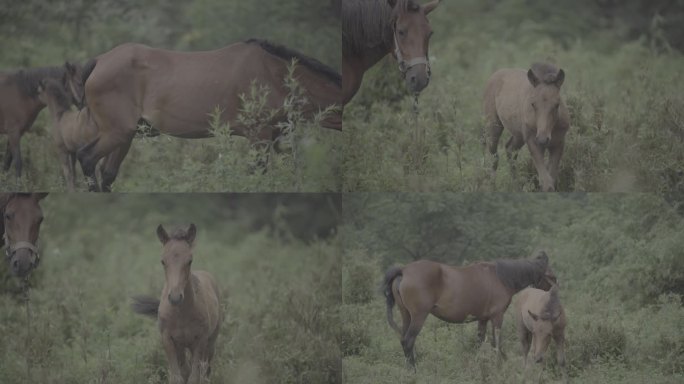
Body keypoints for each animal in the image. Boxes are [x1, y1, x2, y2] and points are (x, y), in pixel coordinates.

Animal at [66, 39, 340, 192]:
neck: (275, 74)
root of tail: (99, 61)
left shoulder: (277, 137)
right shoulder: (259, 136)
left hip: (126, 136)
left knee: (107, 175)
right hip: (117, 133)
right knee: (87, 158)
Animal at [132, 224, 220, 382]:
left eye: (190, 260)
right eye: (163, 261)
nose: (175, 297)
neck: (181, 314)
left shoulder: (200, 341)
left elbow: (194, 378)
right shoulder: (168, 341)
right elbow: (178, 377)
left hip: (210, 343)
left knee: (205, 371)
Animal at [382, 250, 560, 370]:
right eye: (552, 276)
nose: (554, 296)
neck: (501, 277)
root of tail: (403, 270)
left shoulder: (483, 319)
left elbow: (480, 342)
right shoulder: (497, 316)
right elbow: (497, 342)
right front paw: (500, 364)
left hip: (406, 315)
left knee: (404, 340)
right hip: (419, 316)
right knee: (408, 340)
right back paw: (414, 370)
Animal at [480, 62, 572, 192]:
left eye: (557, 104)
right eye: (533, 104)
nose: (543, 139)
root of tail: (494, 76)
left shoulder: (558, 144)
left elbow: (551, 180)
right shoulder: (533, 142)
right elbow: (546, 183)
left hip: (519, 135)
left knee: (510, 150)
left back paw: (516, 186)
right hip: (494, 126)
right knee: (494, 156)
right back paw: (492, 187)